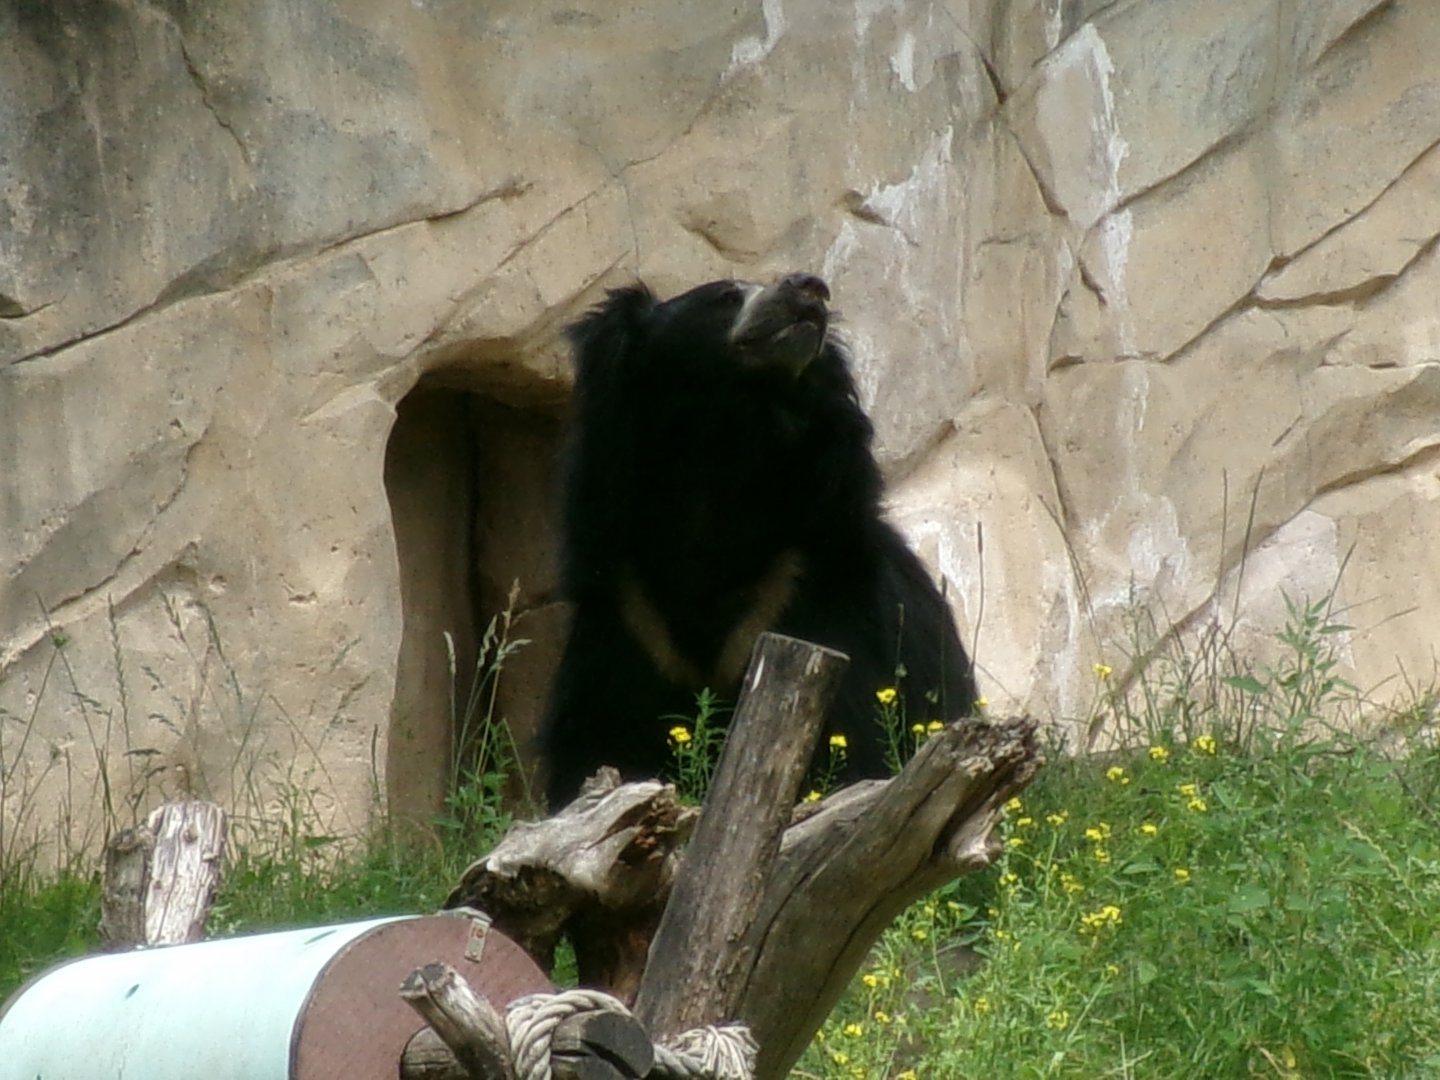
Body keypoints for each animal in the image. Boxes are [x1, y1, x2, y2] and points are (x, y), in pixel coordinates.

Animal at [540, 272, 977, 808]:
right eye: (725, 296)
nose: (809, 287)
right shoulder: (630, 613)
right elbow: (599, 737)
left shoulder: (804, 594)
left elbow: (851, 738)